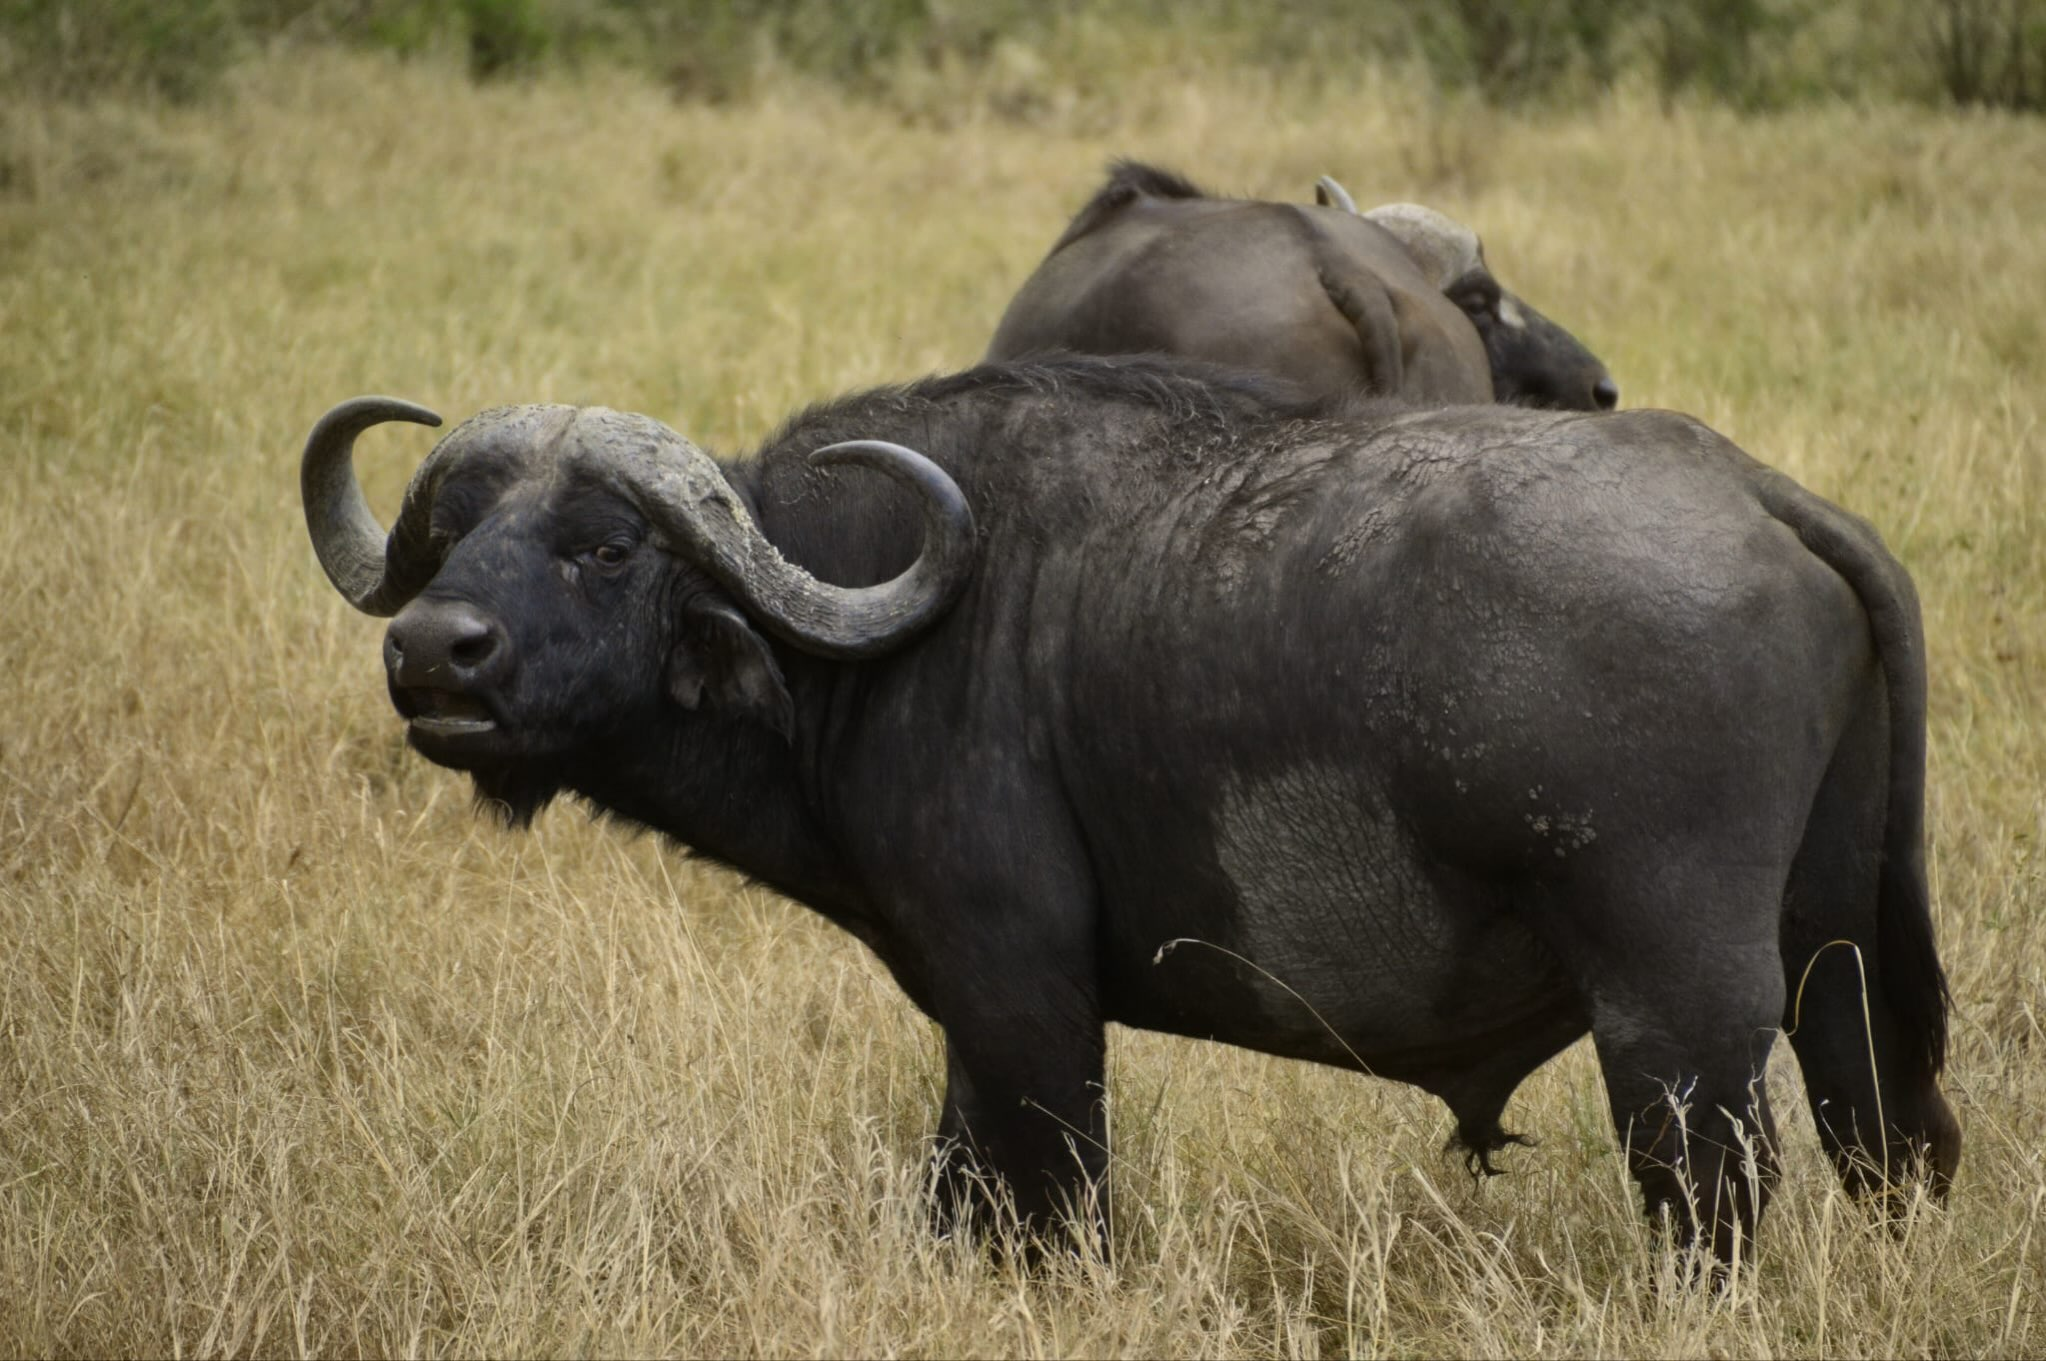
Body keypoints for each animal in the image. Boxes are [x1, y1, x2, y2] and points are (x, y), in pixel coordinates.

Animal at [301, 358, 1956, 1265]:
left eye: (601, 546)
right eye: (455, 534)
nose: (431, 653)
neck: (881, 625)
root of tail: (1752, 494)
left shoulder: (1022, 997)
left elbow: (1061, 1200)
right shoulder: (975, 1026)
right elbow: (960, 1197)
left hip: (1677, 1021)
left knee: (1713, 1197)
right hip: (1838, 975)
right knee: (1885, 1139)